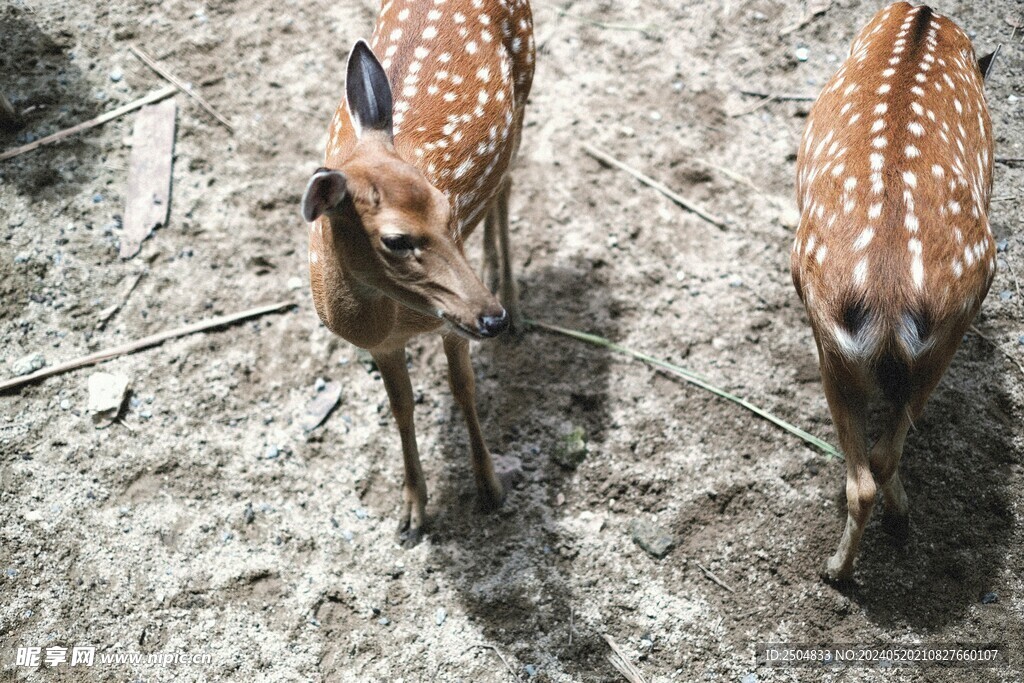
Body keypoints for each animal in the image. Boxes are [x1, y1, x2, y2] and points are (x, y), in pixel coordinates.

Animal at [300, 0, 535, 547]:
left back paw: (511, 295)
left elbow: (463, 388)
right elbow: (401, 406)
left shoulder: (449, 320)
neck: (391, 318)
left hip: (526, 87)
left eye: (447, 207)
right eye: (396, 240)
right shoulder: (381, 344)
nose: (491, 317)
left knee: (507, 184)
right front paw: (411, 513)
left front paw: (490, 489)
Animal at [792, 2, 998, 583]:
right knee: (882, 459)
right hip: (940, 335)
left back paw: (839, 570)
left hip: (834, 344)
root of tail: (886, 304)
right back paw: (886, 534)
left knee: (868, 472)